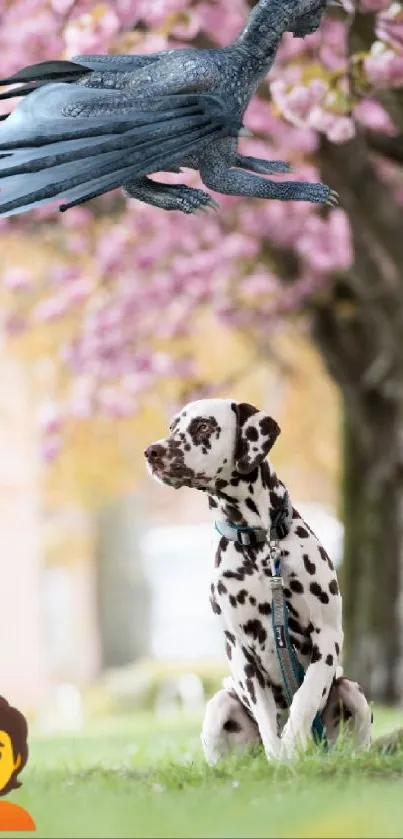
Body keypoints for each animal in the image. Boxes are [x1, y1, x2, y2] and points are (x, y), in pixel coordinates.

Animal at [145, 400, 372, 760]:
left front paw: (293, 742)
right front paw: (281, 758)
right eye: (172, 428)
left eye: (203, 427)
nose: (152, 452)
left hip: (353, 692)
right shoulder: (240, 652)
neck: (259, 543)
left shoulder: (327, 635)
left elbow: (306, 695)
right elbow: (267, 720)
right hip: (219, 706)